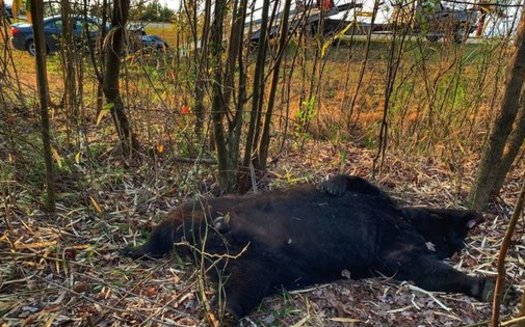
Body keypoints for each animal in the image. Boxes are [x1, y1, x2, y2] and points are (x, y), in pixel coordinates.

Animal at [123, 176, 496, 322]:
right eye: (456, 236)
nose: (459, 243)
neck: (407, 222)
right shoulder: (378, 198)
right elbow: (355, 179)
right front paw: (332, 186)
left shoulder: (403, 256)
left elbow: (432, 273)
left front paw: (485, 285)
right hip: (192, 208)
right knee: (157, 236)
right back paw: (132, 250)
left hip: (255, 270)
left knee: (237, 295)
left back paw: (223, 313)